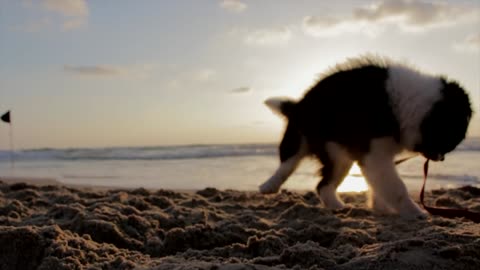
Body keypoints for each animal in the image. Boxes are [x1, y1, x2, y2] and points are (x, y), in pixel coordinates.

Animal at [260, 56, 470, 218]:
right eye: (449, 140)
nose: (441, 159)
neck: (411, 105)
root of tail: (299, 105)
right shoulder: (375, 153)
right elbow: (395, 186)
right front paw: (416, 212)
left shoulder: (377, 155)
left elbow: (380, 184)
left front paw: (381, 208)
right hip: (303, 140)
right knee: (288, 164)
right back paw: (269, 186)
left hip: (340, 156)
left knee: (323, 185)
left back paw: (337, 207)